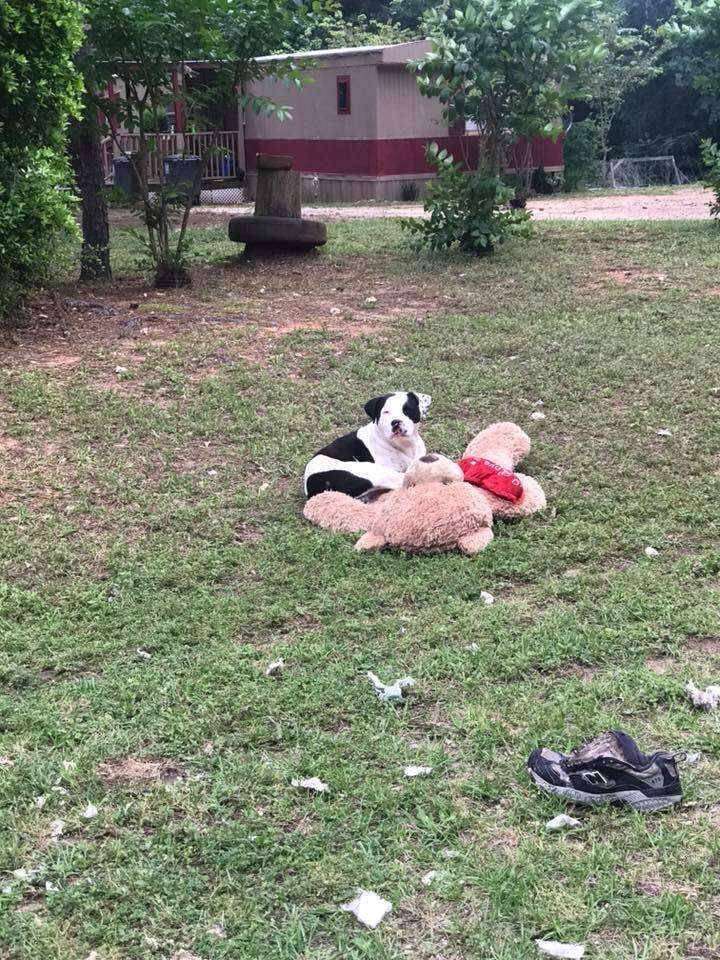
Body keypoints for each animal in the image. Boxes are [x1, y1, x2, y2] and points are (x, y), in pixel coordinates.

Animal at [306, 390, 434, 498]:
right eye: (386, 412)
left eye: (408, 410)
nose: (396, 422)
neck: (405, 445)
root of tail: (313, 491)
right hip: (373, 471)